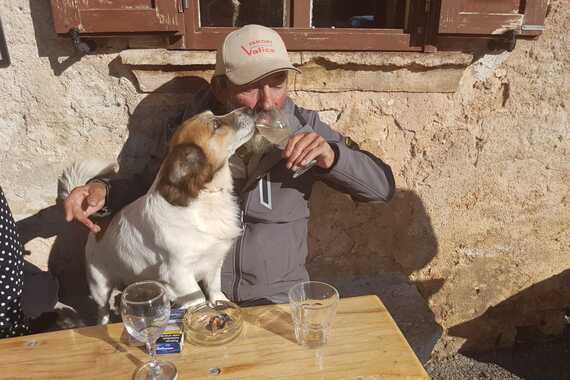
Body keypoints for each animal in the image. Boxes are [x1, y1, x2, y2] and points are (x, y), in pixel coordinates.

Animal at [59, 107, 253, 324]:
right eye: (216, 125)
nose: (248, 109)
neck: (204, 197)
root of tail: (99, 225)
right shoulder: (179, 273)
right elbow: (198, 299)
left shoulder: (213, 261)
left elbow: (214, 289)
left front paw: (222, 304)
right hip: (99, 286)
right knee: (103, 311)